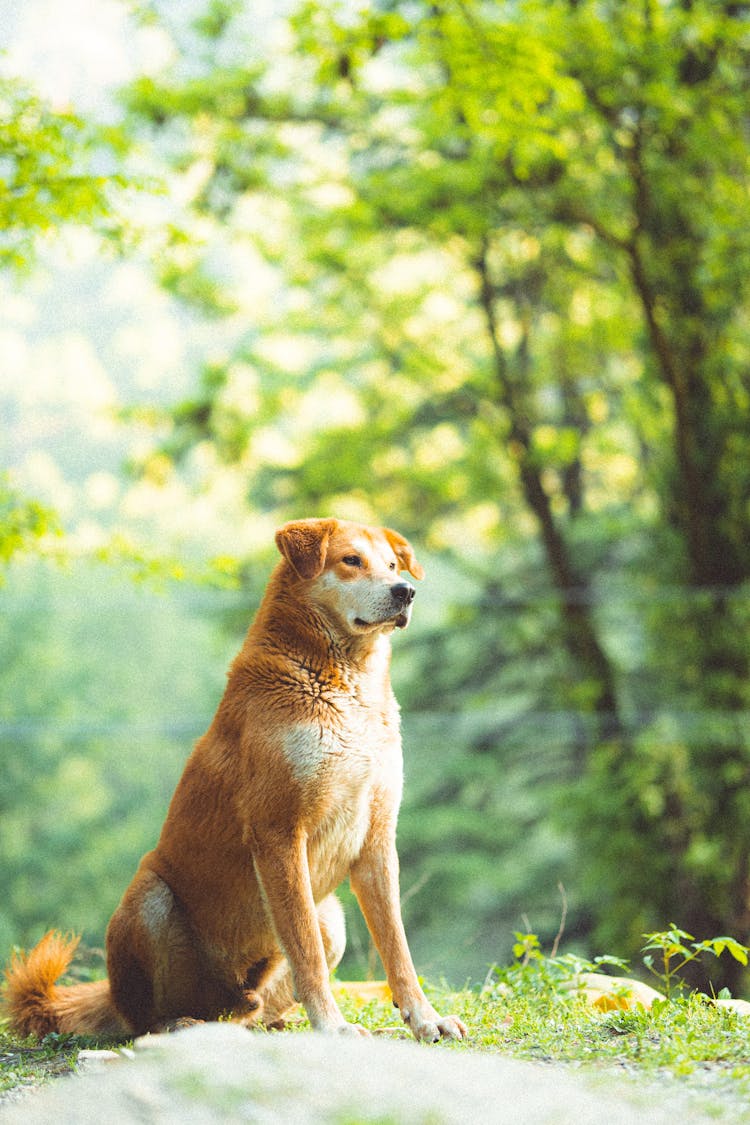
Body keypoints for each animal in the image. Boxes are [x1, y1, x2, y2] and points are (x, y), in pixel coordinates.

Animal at [2, 522, 465, 1039]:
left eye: (391, 565)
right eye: (350, 561)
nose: (406, 591)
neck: (345, 682)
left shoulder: (377, 838)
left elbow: (397, 949)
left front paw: (424, 1018)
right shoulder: (279, 833)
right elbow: (304, 950)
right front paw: (333, 1026)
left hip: (331, 917)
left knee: (253, 1010)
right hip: (150, 900)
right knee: (144, 1017)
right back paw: (178, 1023)